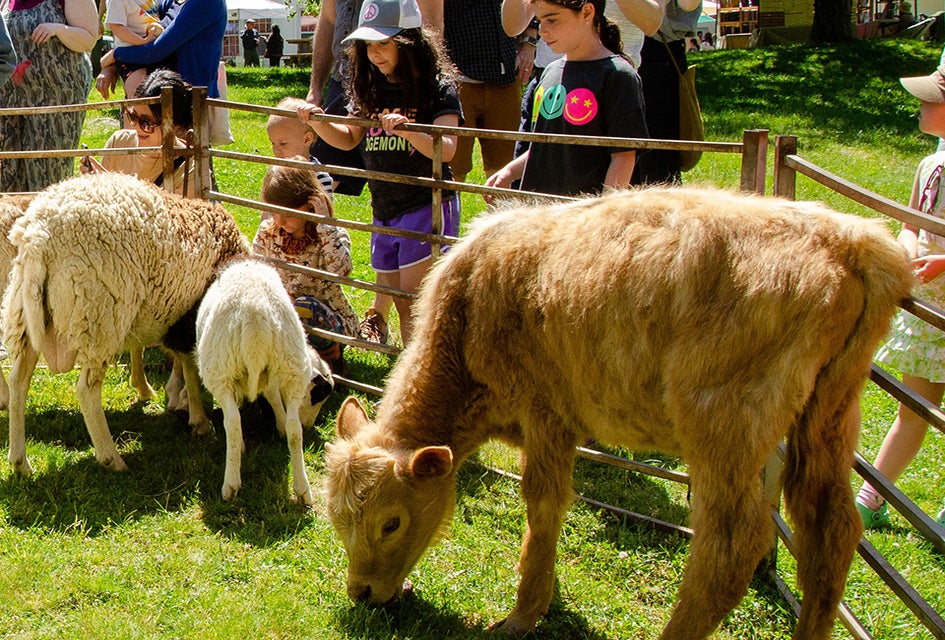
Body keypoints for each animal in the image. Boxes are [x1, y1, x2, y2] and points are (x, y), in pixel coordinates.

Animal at [2, 172, 250, 476]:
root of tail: (39, 236)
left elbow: (161, 355)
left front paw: (157, 392)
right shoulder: (188, 317)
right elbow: (191, 367)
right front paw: (199, 419)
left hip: (27, 314)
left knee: (19, 380)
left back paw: (20, 461)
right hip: (98, 314)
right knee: (87, 390)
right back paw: (112, 458)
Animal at [195, 257, 334, 505]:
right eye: (317, 398)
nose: (311, 425)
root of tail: (255, 315)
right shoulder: (272, 376)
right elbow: (273, 396)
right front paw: (279, 423)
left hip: (220, 369)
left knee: (233, 422)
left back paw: (230, 484)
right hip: (292, 365)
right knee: (294, 428)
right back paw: (303, 489)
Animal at [324, 187, 915, 640]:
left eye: (392, 522)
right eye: (338, 519)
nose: (362, 592)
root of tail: (849, 239)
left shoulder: (548, 415)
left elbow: (543, 506)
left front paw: (524, 613)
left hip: (725, 424)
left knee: (731, 547)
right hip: (829, 415)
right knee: (830, 530)